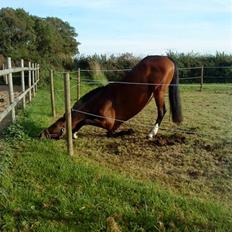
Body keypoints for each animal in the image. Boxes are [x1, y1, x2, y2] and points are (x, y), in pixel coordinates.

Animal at [40, 55, 183, 140]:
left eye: (55, 125)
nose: (41, 134)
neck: (101, 100)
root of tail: (168, 58)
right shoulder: (111, 126)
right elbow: (109, 132)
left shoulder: (107, 121)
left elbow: (85, 120)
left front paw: (74, 133)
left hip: (159, 91)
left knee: (162, 111)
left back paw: (151, 133)